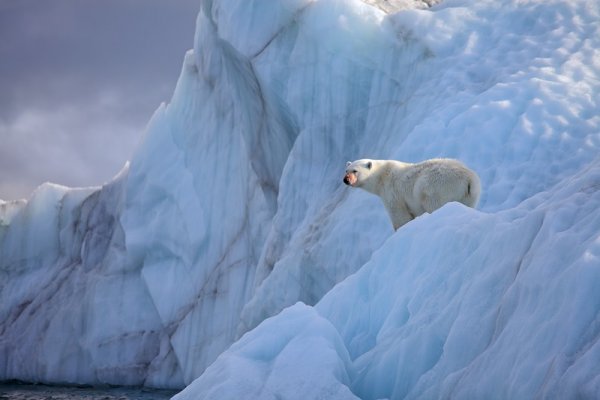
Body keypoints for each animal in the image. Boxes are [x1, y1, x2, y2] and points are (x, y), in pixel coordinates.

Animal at [344, 158, 480, 230]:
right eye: (346, 170)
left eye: (355, 171)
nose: (346, 180)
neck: (382, 176)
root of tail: (468, 179)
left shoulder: (392, 192)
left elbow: (400, 216)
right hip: (470, 195)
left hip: (435, 186)